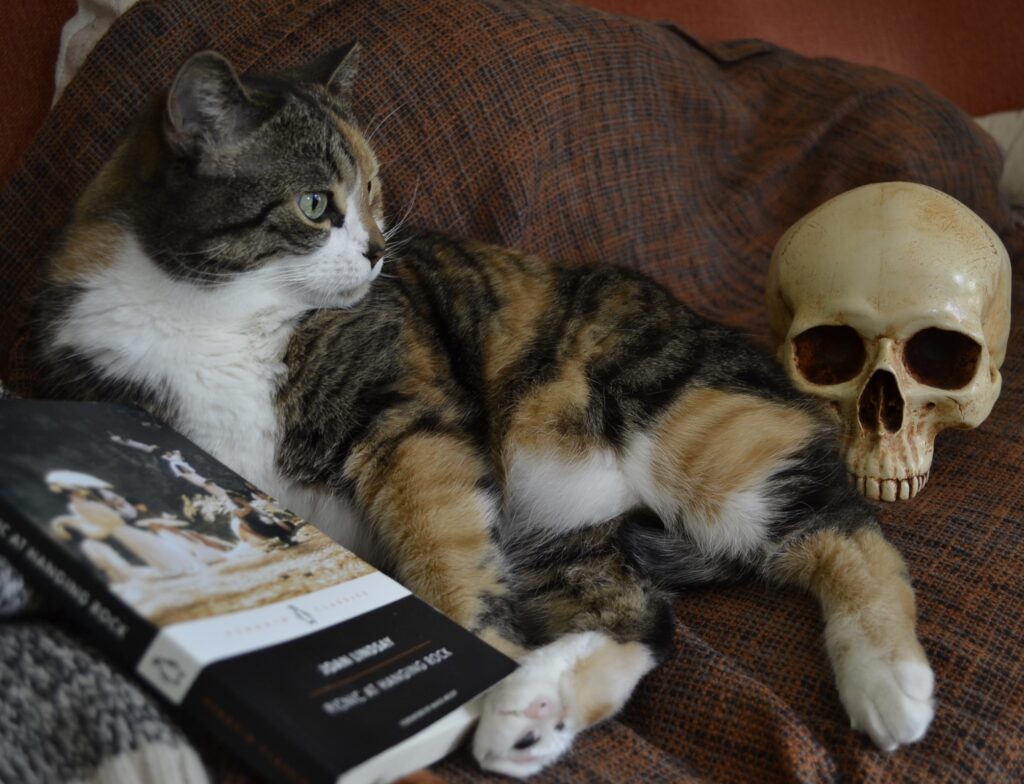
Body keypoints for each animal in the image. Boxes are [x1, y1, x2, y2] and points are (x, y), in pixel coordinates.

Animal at [36, 44, 937, 777]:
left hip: (684, 424)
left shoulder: (410, 423)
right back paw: (528, 714)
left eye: (374, 191)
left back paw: (889, 684)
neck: (216, 313)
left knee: (841, 523)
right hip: (555, 533)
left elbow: (446, 557)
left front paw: (477, 660)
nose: (377, 251)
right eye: (315, 205)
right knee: (645, 621)